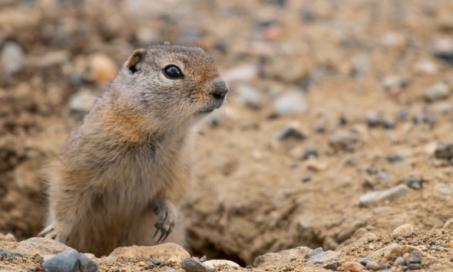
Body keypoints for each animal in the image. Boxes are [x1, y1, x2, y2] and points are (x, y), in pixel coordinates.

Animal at [39, 44, 228, 255]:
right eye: (172, 71)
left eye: (209, 58)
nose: (222, 89)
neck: (161, 131)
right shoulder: (81, 159)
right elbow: (66, 192)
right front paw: (55, 232)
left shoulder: (181, 164)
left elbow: (173, 191)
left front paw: (168, 215)